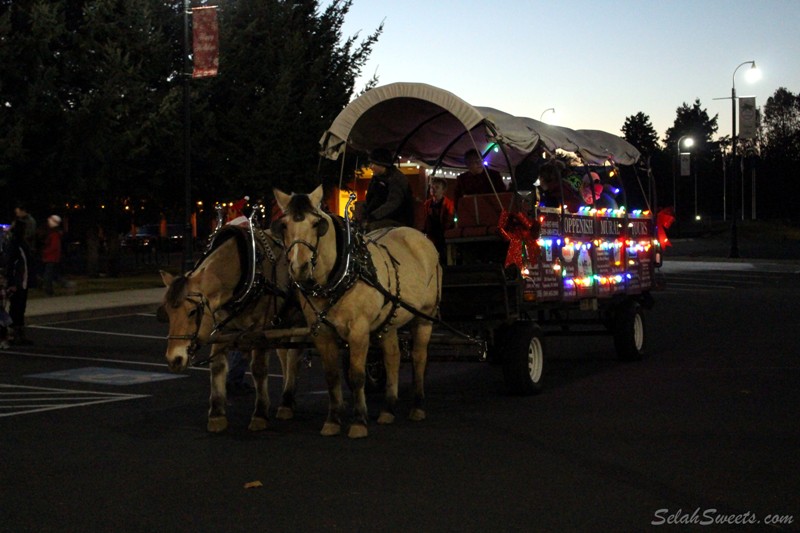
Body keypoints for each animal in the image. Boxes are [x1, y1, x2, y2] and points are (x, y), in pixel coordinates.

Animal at [158, 224, 302, 432]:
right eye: (168, 312)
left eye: (192, 311)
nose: (174, 359)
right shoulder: (220, 327)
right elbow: (217, 366)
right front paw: (217, 414)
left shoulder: (261, 327)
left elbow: (258, 369)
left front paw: (260, 414)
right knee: (285, 357)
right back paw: (287, 400)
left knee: (293, 357)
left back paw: (287, 401)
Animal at [272, 185, 440, 438]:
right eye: (284, 225)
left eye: (317, 224)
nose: (300, 268)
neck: (343, 272)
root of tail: (419, 236)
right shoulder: (322, 333)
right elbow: (332, 376)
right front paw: (333, 420)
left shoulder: (359, 330)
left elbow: (357, 375)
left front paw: (359, 421)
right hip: (389, 320)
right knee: (392, 357)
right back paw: (388, 409)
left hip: (424, 317)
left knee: (420, 357)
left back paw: (417, 407)